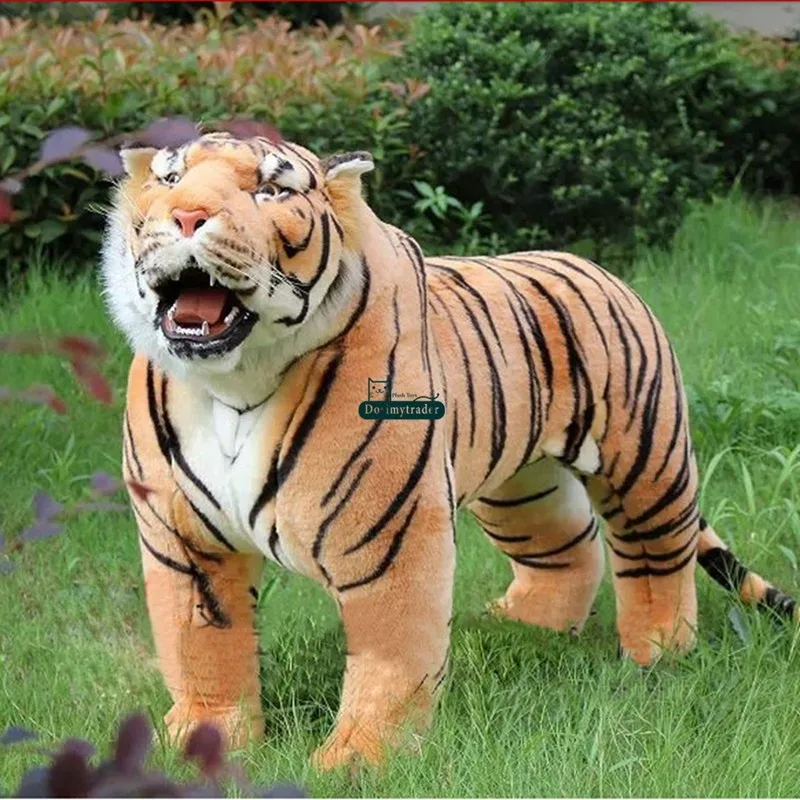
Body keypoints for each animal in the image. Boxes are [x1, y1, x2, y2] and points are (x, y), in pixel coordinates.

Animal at [102, 131, 799, 770]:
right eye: (170, 180)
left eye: (270, 191)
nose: (186, 217)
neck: (235, 382)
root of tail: (601, 270)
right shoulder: (183, 542)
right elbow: (203, 651)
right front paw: (197, 743)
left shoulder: (386, 536)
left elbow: (392, 654)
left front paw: (358, 761)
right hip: (522, 488)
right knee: (569, 548)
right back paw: (524, 629)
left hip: (646, 463)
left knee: (657, 557)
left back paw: (658, 652)